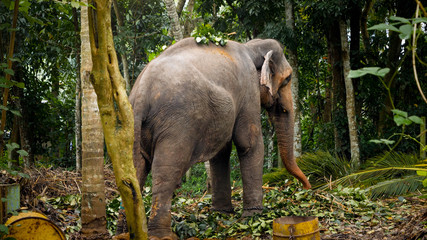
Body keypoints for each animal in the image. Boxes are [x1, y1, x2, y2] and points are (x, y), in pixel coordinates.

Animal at [129, 37, 312, 238]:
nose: (307, 187)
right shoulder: (248, 88)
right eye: (288, 78)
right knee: (166, 171)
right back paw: (163, 235)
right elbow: (249, 142)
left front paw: (222, 214)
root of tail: (141, 95)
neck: (250, 47)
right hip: (176, 125)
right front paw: (254, 216)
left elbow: (221, 152)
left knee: (134, 173)